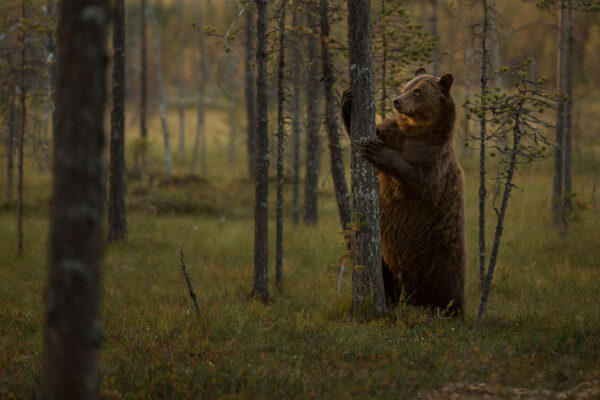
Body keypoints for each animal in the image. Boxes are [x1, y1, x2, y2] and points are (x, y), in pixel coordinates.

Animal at [342, 68, 464, 316]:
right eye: (406, 86)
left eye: (418, 91)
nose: (397, 101)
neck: (416, 131)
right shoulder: (395, 134)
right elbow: (373, 132)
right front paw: (347, 101)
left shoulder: (434, 159)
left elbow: (415, 176)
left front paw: (376, 150)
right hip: (384, 255)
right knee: (385, 272)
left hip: (441, 254)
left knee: (447, 285)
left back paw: (448, 309)